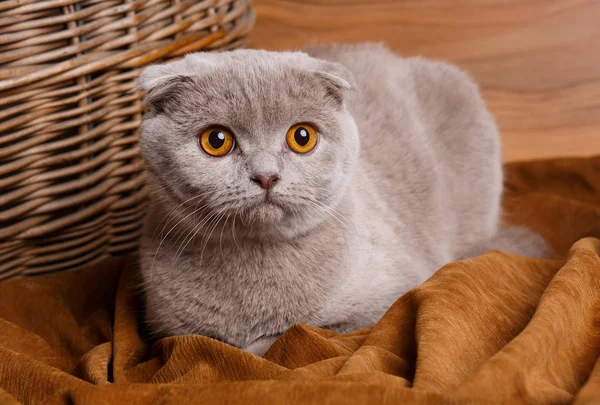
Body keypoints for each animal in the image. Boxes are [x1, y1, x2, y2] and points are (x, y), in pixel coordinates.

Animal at [137, 42, 548, 356]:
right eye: (216, 140)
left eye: (302, 137)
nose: (266, 175)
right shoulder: (170, 330)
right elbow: (207, 339)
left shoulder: (387, 300)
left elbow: (290, 336)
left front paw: (257, 342)